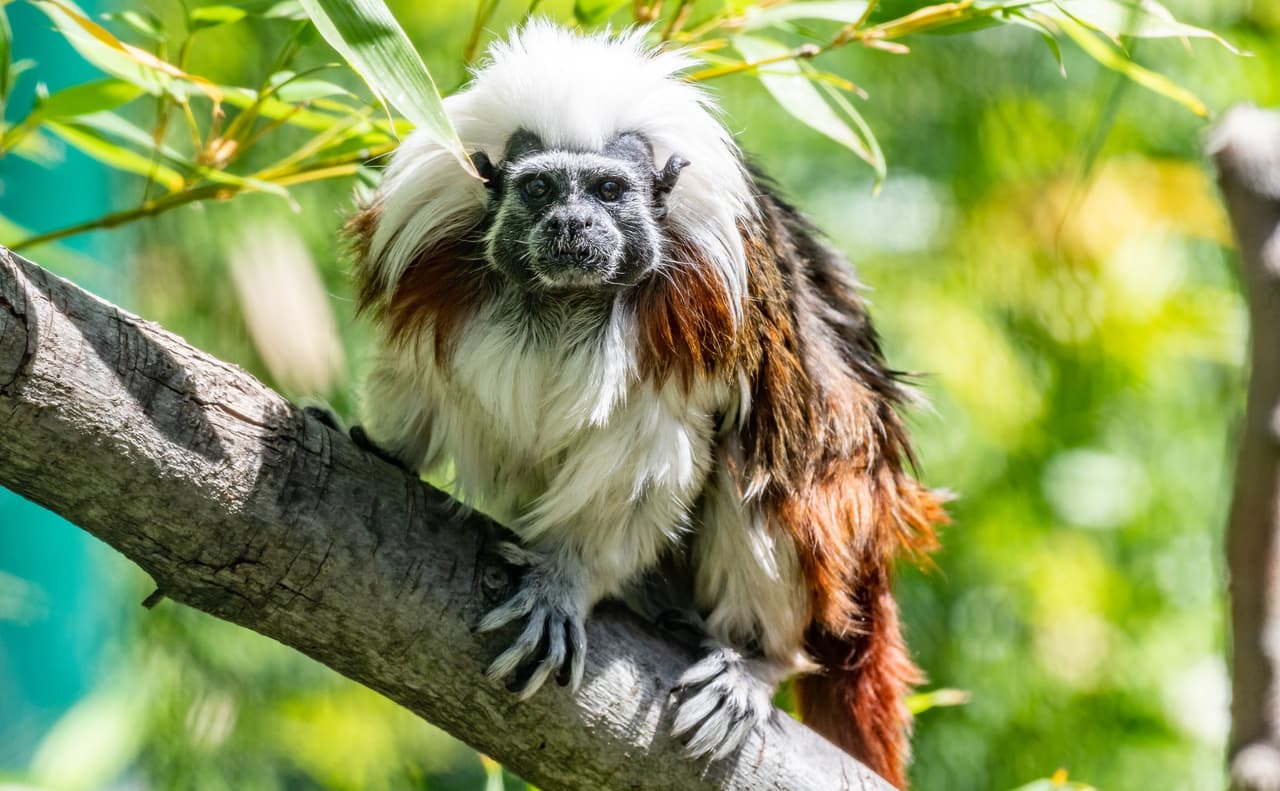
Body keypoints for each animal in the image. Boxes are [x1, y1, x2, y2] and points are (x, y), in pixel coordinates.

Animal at [339, 23, 946, 789]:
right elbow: (415, 385)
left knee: (770, 463)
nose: (572, 223)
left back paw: (756, 657)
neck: (562, 303)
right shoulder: (427, 271)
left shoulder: (704, 311)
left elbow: (649, 466)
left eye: (608, 190)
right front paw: (379, 445)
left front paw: (564, 581)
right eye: (539, 188)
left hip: (843, 530)